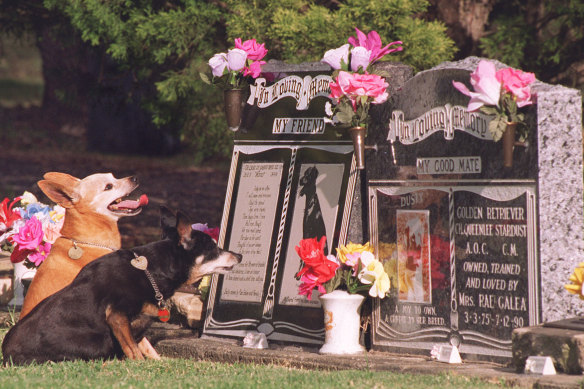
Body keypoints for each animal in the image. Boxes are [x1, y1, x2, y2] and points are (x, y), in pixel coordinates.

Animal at [1, 206, 241, 364]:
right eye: (213, 249)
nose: (239, 255)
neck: (151, 270)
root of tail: (6, 355)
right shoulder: (117, 316)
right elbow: (133, 350)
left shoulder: (135, 322)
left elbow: (144, 346)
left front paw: (159, 362)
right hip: (97, 341)